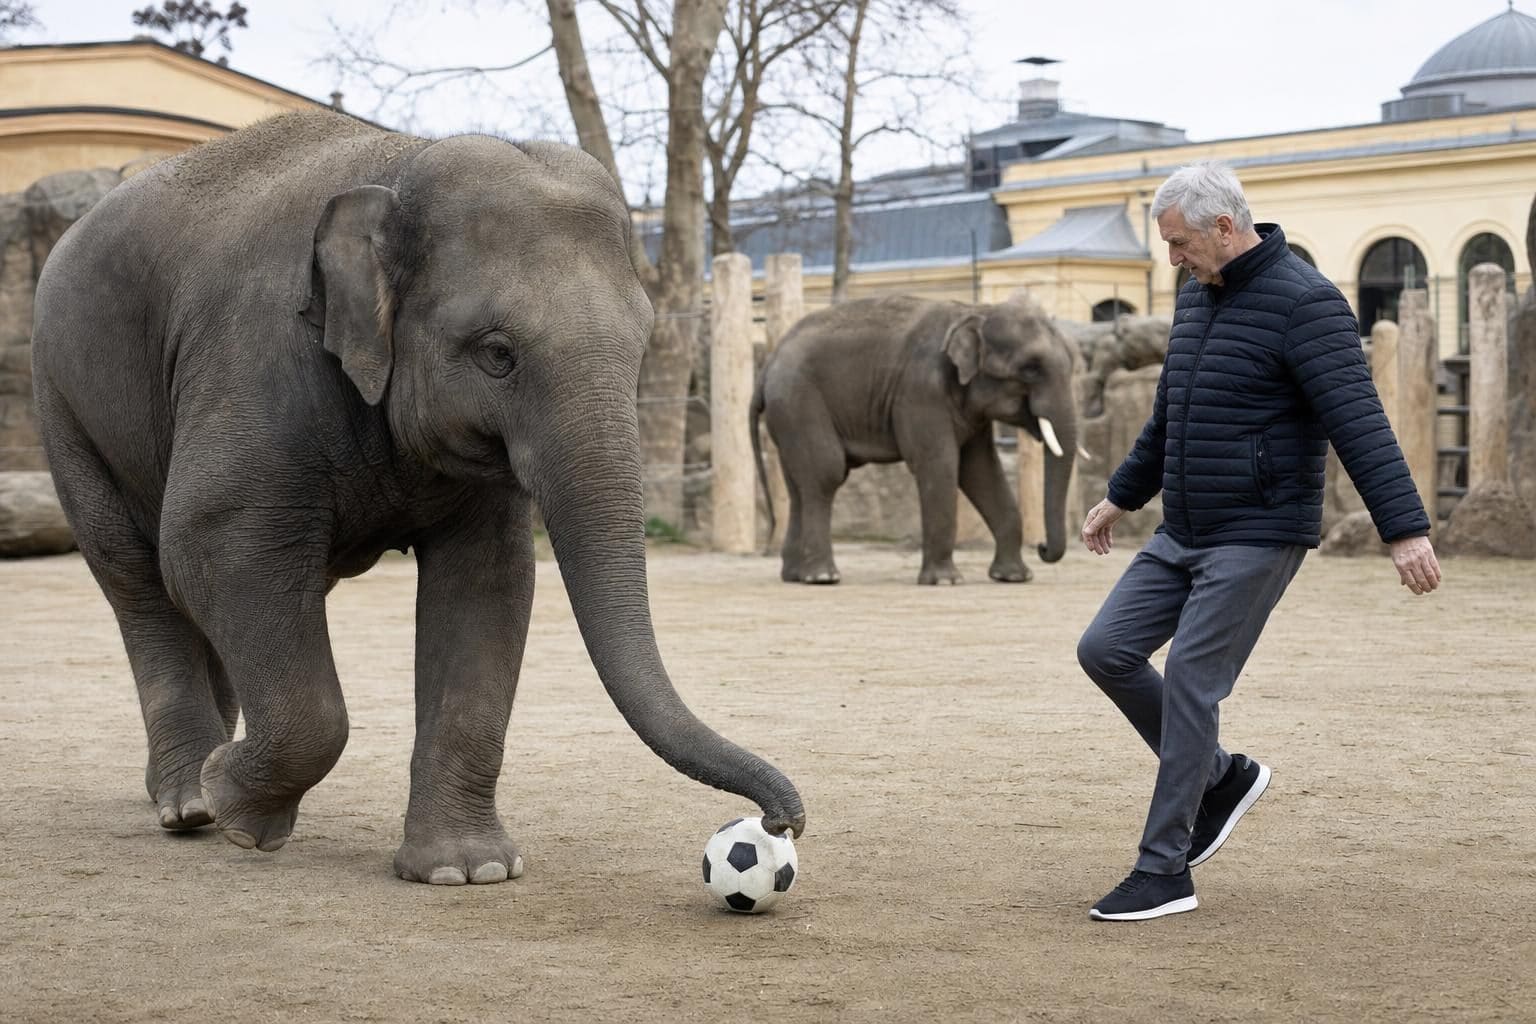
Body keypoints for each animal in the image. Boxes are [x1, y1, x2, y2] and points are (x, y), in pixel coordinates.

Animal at [30, 109, 804, 885]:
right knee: (139, 576)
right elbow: (213, 542)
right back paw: (191, 802)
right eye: (497, 353)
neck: (401, 164)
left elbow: (486, 583)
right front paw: (237, 812)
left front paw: (466, 872)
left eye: (642, 347)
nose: (782, 822)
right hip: (65, 407)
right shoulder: (255, 359)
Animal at [751, 293, 1078, 585]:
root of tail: (768, 364)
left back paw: (795, 575)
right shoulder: (921, 390)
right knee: (825, 474)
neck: (976, 310)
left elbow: (980, 471)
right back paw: (822, 577)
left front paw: (1013, 577)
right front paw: (945, 581)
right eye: (1031, 369)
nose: (1042, 547)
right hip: (799, 402)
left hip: (788, 415)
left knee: (798, 485)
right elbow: (940, 465)